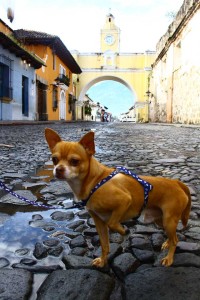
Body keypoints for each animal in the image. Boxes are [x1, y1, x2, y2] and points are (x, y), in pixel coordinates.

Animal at [45, 127, 191, 268]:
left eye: (74, 161)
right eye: (54, 160)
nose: (58, 169)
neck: (95, 181)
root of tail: (176, 182)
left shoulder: (124, 200)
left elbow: (113, 223)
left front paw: (124, 231)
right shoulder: (99, 222)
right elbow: (104, 245)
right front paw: (103, 261)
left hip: (169, 220)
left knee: (176, 239)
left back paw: (169, 258)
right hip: (161, 220)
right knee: (172, 236)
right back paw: (167, 243)